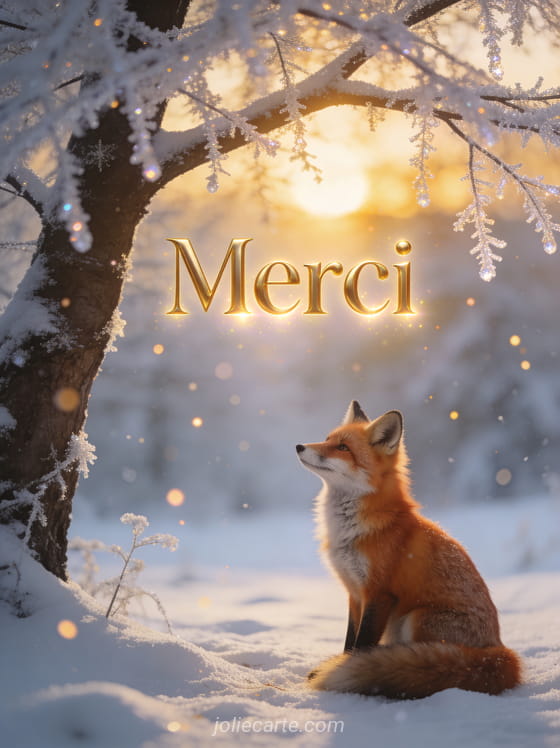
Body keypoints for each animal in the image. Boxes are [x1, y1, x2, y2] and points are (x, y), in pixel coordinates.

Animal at [295, 401, 521, 700]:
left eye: (343, 447)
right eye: (327, 439)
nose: (298, 446)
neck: (351, 531)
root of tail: (498, 651)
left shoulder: (379, 592)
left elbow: (360, 645)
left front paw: (348, 674)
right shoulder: (354, 592)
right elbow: (349, 642)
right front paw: (340, 666)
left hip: (415, 618)